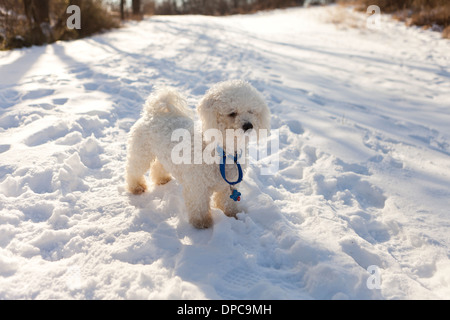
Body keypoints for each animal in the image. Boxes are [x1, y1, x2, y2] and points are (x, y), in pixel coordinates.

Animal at [125, 81, 268, 229]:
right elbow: (199, 206)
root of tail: (152, 112)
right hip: (141, 152)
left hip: (164, 154)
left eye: (251, 111)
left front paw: (232, 214)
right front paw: (202, 223)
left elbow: (227, 202)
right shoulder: (197, 186)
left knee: (159, 166)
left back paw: (162, 179)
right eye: (232, 113)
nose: (248, 125)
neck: (221, 150)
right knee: (134, 170)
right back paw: (136, 187)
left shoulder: (228, 185)